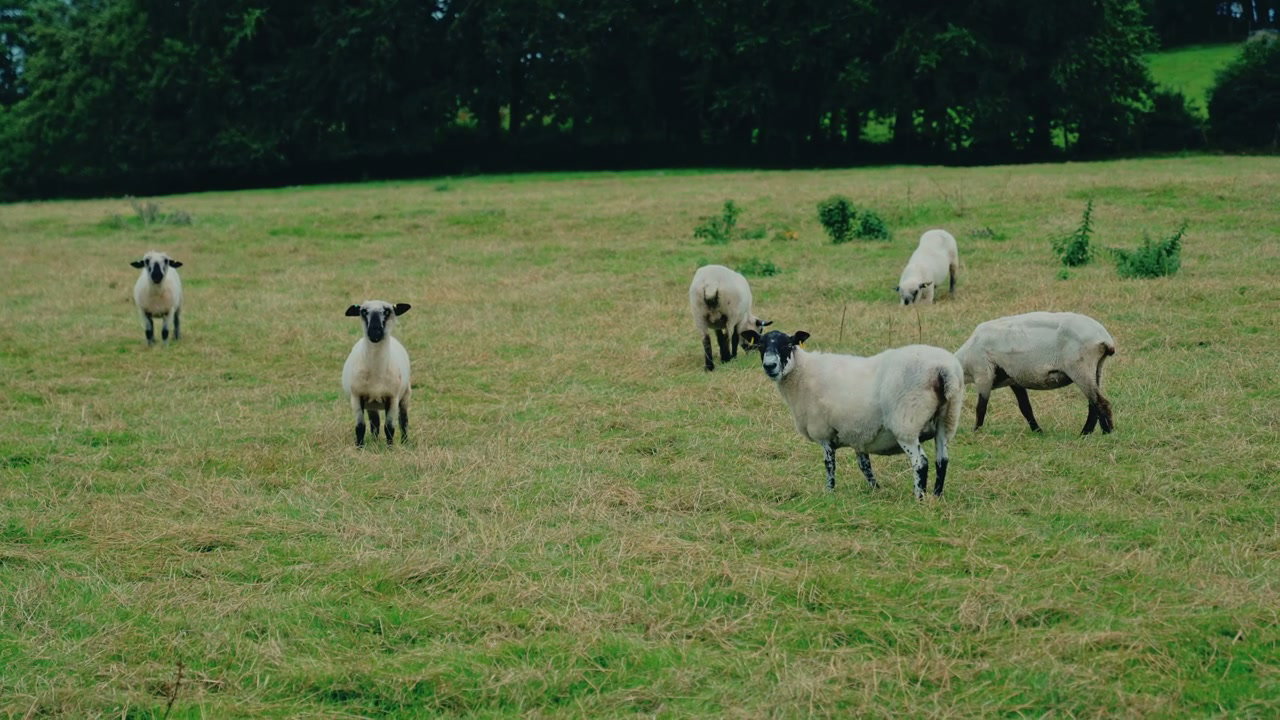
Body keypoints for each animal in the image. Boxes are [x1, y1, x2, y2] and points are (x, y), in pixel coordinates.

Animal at [342, 300, 412, 447]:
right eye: (363, 311)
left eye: (387, 311)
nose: (374, 332)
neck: (376, 372)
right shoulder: (356, 397)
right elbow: (360, 427)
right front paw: (359, 448)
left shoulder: (392, 398)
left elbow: (390, 428)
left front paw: (390, 448)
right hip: (371, 403)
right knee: (375, 423)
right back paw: (374, 442)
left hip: (405, 394)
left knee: (403, 421)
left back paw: (405, 443)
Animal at [740, 329, 964, 498]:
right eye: (760, 345)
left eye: (788, 345)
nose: (770, 366)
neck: (802, 374)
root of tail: (943, 369)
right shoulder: (859, 435)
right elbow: (865, 466)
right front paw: (876, 490)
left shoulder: (824, 433)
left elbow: (830, 465)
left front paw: (829, 492)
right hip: (947, 419)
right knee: (942, 460)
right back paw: (936, 496)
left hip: (906, 423)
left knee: (920, 463)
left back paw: (920, 498)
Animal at [954, 311, 1116, 435]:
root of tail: (1104, 339)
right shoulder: (1015, 380)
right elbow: (1026, 408)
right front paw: (1038, 431)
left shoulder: (983, 375)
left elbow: (981, 407)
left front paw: (976, 432)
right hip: (1096, 369)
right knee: (1094, 404)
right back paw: (1095, 432)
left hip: (1080, 368)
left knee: (1101, 402)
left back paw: (1100, 433)